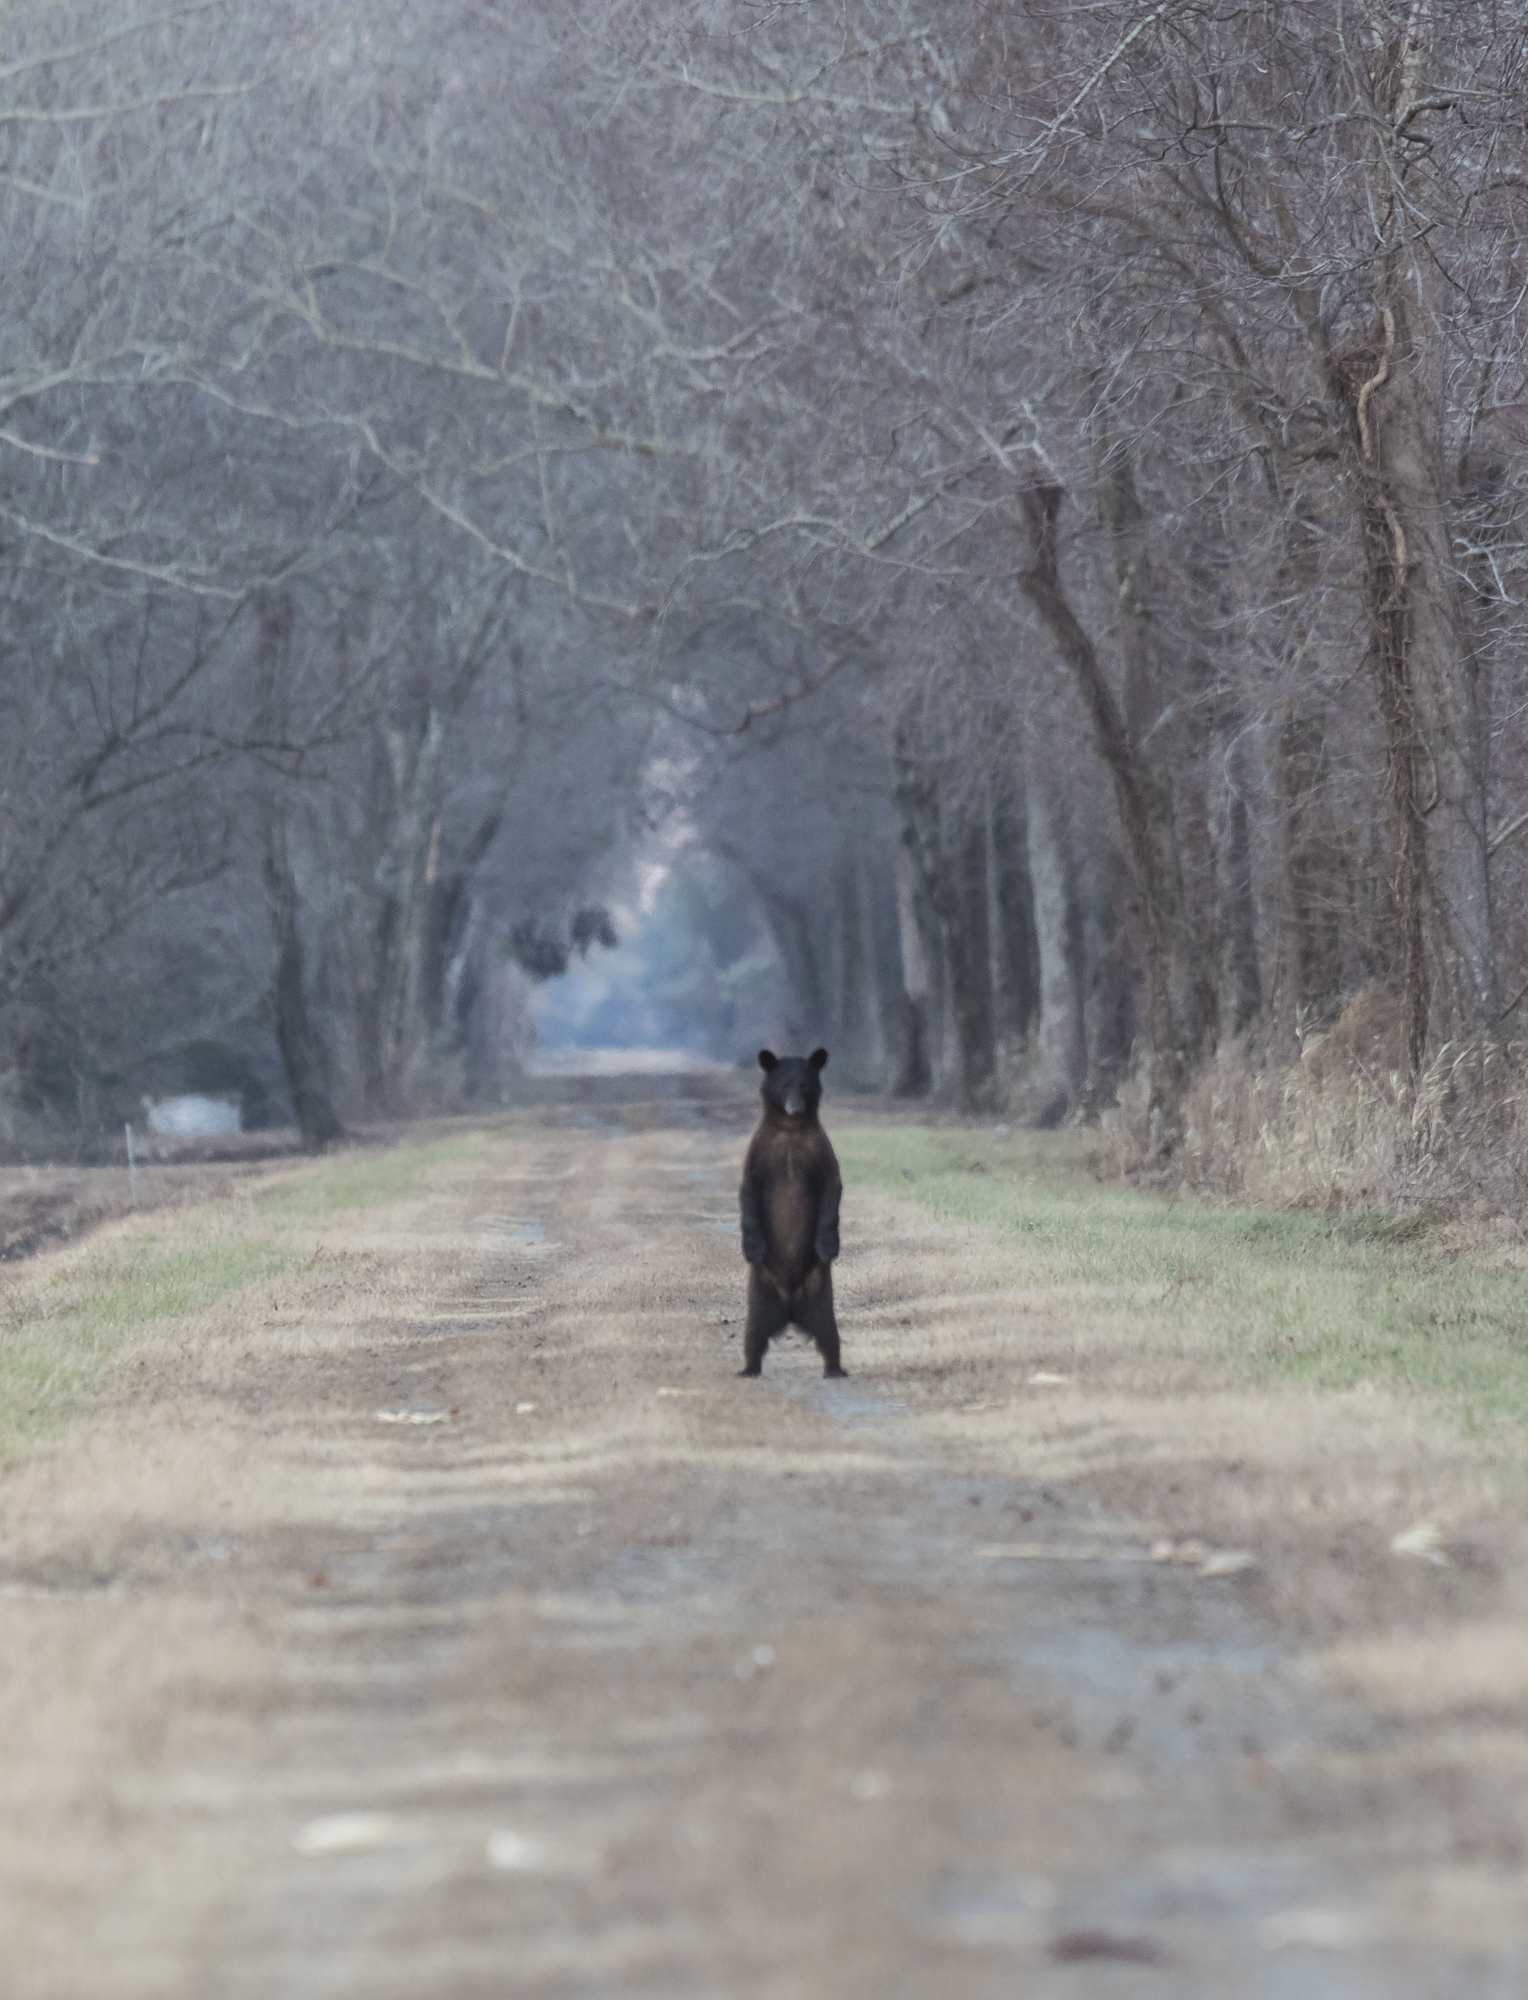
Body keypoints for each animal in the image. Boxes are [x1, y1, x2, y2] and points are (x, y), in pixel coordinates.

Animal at [737, 1047, 845, 1378]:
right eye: (785, 1084)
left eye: (805, 1084)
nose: (795, 1107)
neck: (791, 1130)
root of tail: (791, 1309)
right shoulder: (761, 1153)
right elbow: (747, 1192)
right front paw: (752, 1247)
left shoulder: (819, 1152)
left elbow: (832, 1189)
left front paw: (828, 1245)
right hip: (760, 1295)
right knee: (753, 1333)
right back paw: (748, 1368)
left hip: (821, 1297)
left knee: (829, 1334)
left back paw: (835, 1368)